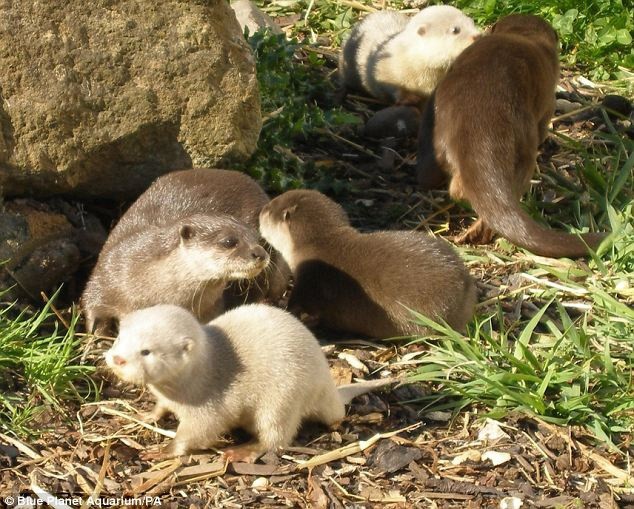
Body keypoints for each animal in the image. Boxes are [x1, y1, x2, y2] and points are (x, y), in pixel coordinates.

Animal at [258, 188, 474, 338]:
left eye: (269, 211)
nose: (260, 211)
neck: (316, 244)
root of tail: (466, 283)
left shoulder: (309, 279)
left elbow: (299, 304)